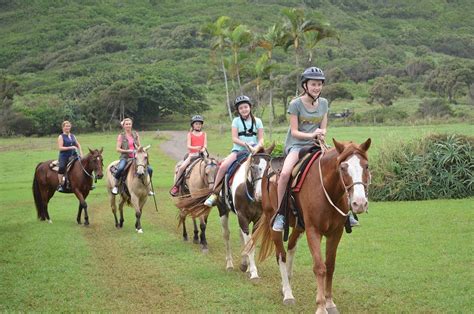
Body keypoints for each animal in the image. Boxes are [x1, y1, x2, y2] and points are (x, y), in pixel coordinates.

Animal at [246, 139, 372, 312]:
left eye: (366, 166)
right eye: (343, 167)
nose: (359, 203)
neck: (326, 188)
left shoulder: (336, 232)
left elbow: (330, 266)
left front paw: (330, 302)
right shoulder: (313, 231)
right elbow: (319, 267)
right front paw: (321, 306)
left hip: (299, 226)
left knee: (291, 247)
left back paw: (286, 285)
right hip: (274, 223)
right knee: (281, 255)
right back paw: (288, 294)